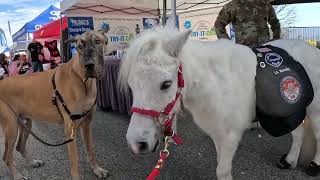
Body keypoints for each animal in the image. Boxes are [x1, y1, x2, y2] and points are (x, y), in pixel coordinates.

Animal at [119, 22, 320, 180]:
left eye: (166, 84)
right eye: (131, 85)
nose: (137, 143)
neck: (217, 82)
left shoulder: (232, 134)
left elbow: (222, 170)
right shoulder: (217, 133)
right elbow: (220, 164)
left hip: (315, 109)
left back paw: (314, 166)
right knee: (299, 132)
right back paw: (290, 161)